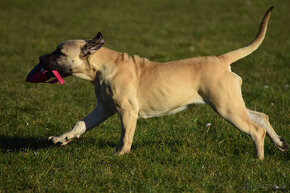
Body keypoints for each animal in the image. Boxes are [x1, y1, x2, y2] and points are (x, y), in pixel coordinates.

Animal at [27, 6, 288, 160]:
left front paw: (119, 155)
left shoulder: (127, 112)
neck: (102, 66)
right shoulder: (103, 109)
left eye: (60, 52)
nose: (39, 59)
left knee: (255, 129)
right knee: (262, 117)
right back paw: (280, 144)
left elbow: (125, 136)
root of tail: (221, 59)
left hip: (226, 107)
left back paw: (258, 159)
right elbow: (80, 124)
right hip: (232, 104)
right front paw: (62, 138)